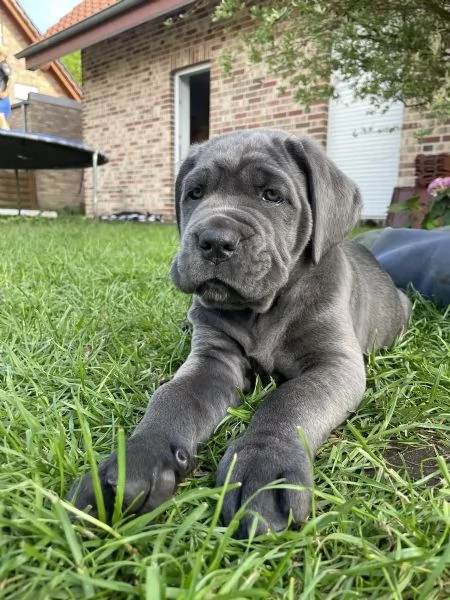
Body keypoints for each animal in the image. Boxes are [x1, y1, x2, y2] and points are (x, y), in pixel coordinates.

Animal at [70, 129, 412, 536]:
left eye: (272, 195)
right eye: (195, 193)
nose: (215, 240)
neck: (262, 311)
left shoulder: (335, 364)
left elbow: (290, 402)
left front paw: (266, 467)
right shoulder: (213, 357)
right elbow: (174, 397)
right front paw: (137, 458)